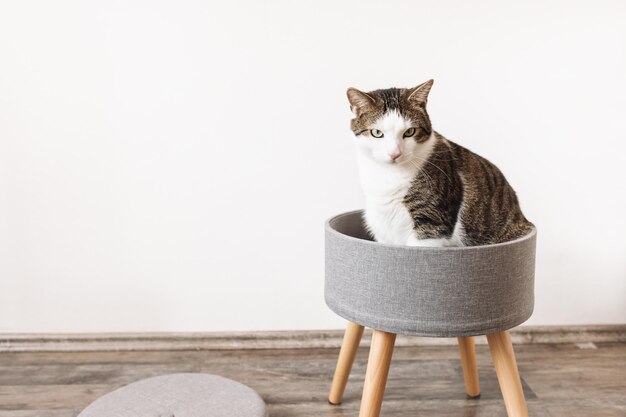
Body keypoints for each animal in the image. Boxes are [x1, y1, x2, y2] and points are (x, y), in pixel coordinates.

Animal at [346, 79, 532, 245]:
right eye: (377, 133)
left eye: (410, 132)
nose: (394, 154)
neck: (389, 175)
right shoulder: (383, 230)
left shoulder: (432, 224)